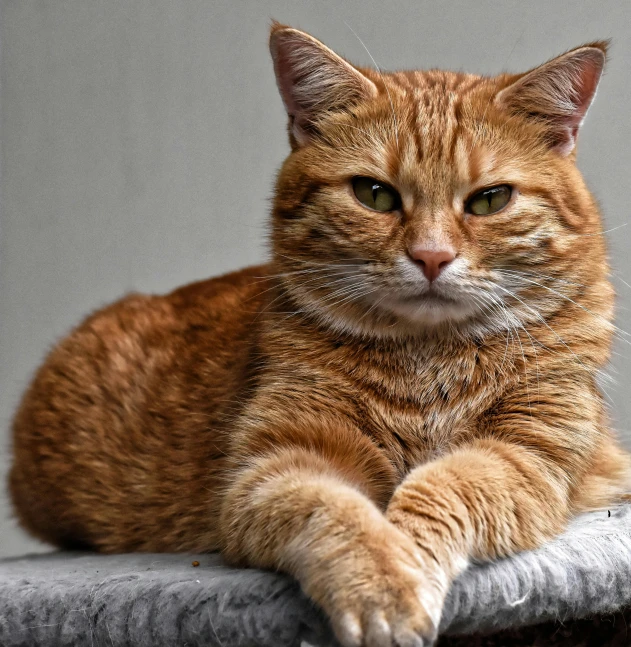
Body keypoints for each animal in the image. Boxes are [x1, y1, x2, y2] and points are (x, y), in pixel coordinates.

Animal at [9, 21, 631, 647]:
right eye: (375, 194)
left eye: (490, 200)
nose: (431, 256)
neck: (427, 359)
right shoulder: (282, 463)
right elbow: (336, 514)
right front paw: (383, 586)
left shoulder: (522, 454)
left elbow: (443, 489)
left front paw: (407, 553)